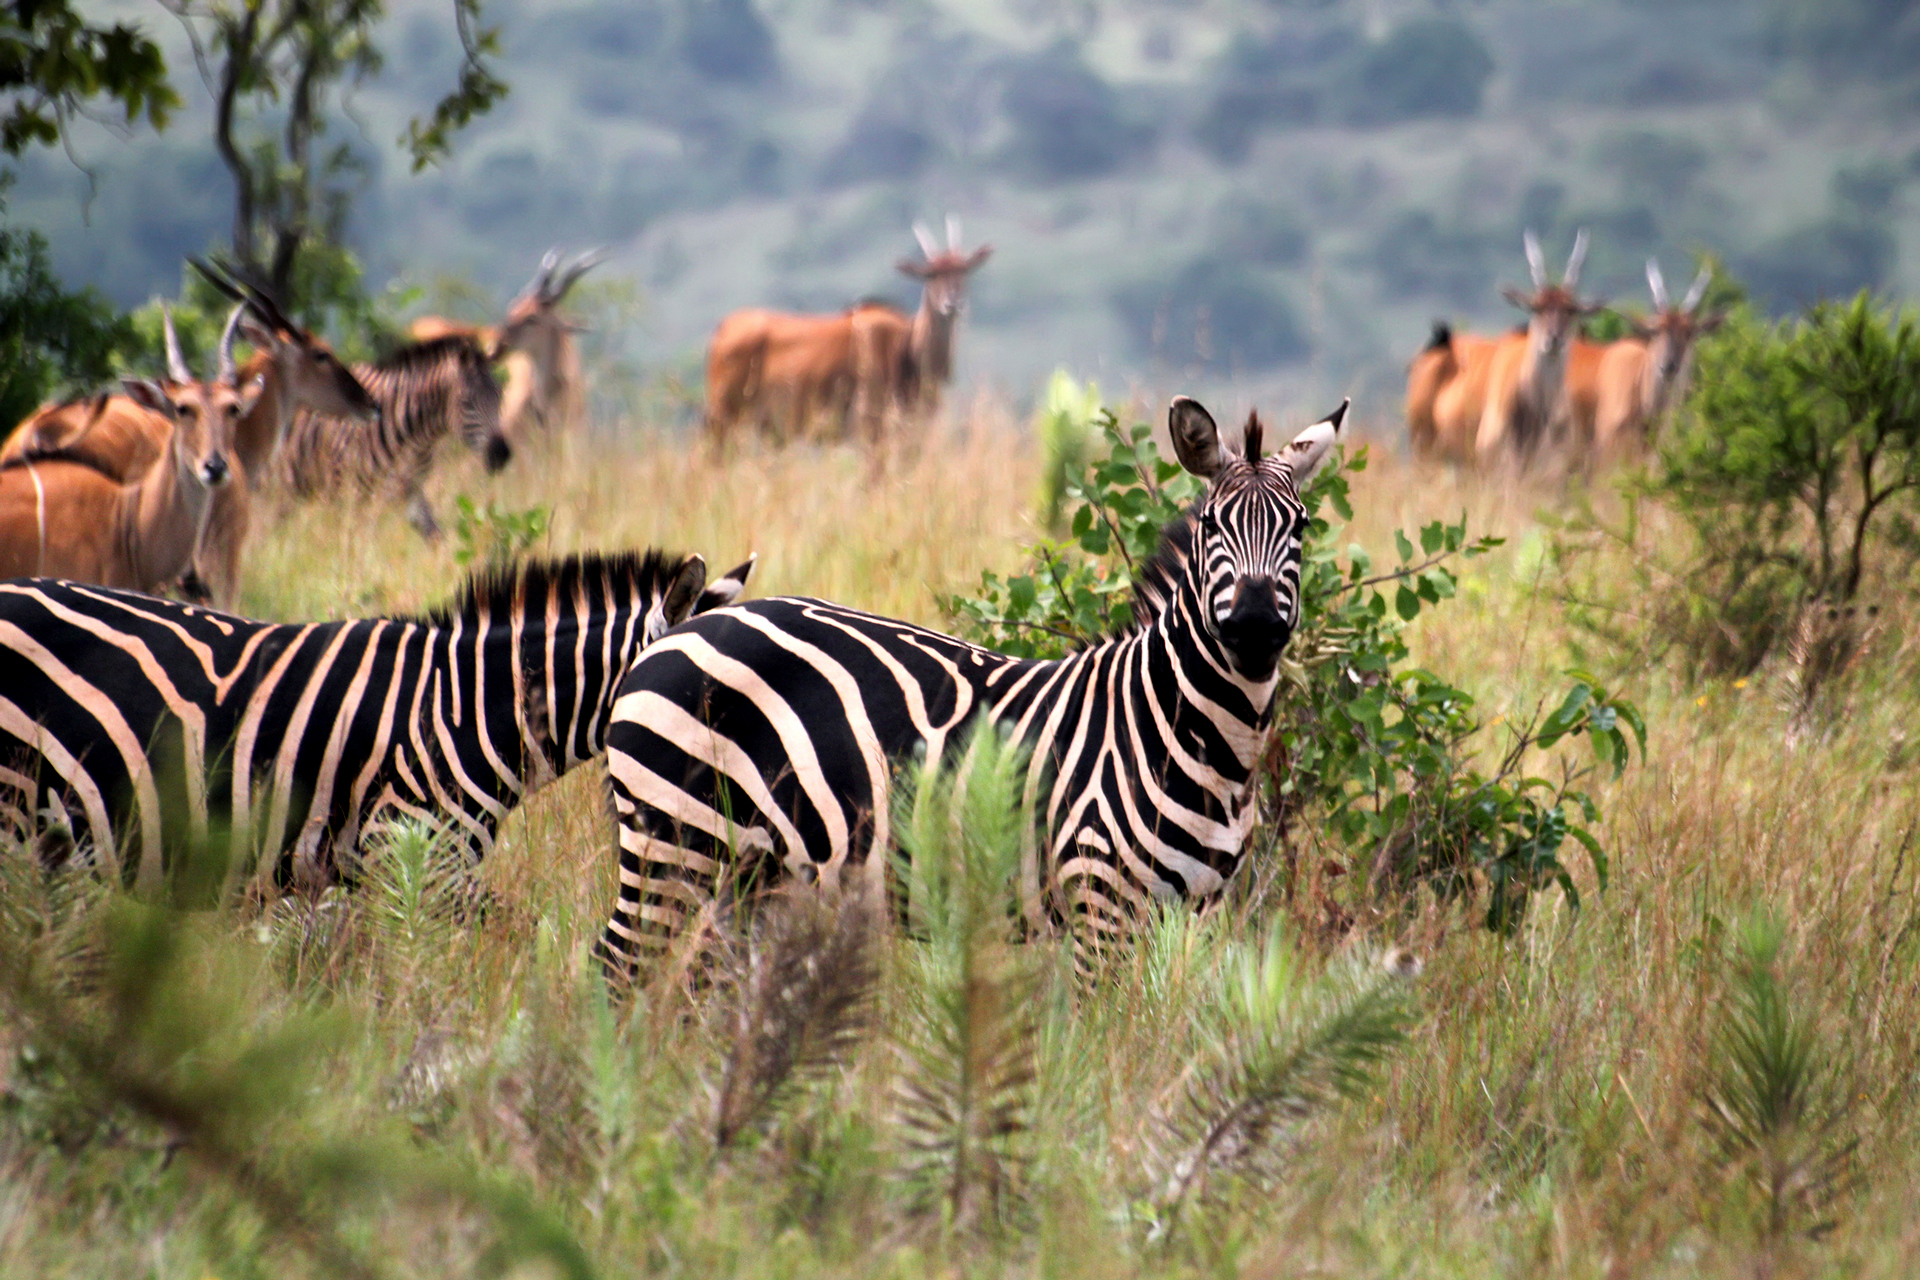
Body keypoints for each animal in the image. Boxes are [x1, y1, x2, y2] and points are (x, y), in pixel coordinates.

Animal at [274, 335, 510, 540]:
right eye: (466, 401)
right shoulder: (352, 495)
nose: (501, 454)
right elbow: (357, 547)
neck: (416, 440)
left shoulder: (412, 492)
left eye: (500, 396)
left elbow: (437, 539)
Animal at [598, 395, 1346, 968]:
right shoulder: (1097, 906)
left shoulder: (1198, 914)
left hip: (754, 869)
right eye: (1214, 526)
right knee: (620, 965)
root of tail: (680, 630)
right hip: (673, 832)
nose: (1254, 625)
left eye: (1302, 527)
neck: (1193, 736)